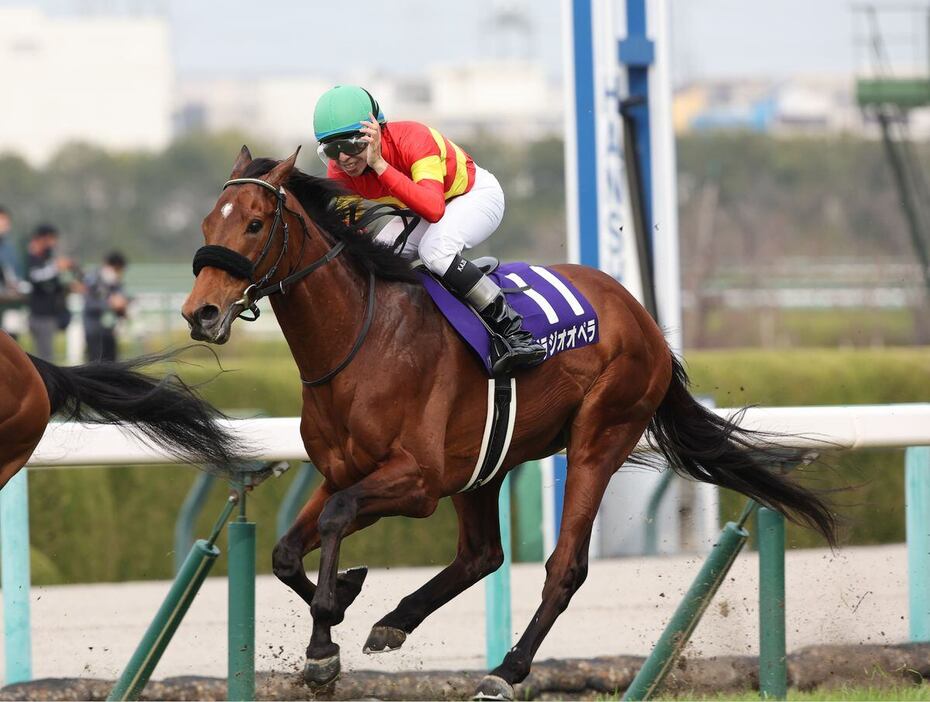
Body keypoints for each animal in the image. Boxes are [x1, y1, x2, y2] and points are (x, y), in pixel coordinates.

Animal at [181, 146, 832, 700]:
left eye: (255, 224)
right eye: (208, 224)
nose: (199, 313)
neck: (361, 342)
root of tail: (642, 318)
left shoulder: (416, 482)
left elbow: (337, 519)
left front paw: (323, 643)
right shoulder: (343, 471)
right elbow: (287, 552)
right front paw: (342, 593)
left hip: (600, 436)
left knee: (564, 566)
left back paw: (508, 669)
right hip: (484, 463)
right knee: (481, 555)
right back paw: (396, 621)